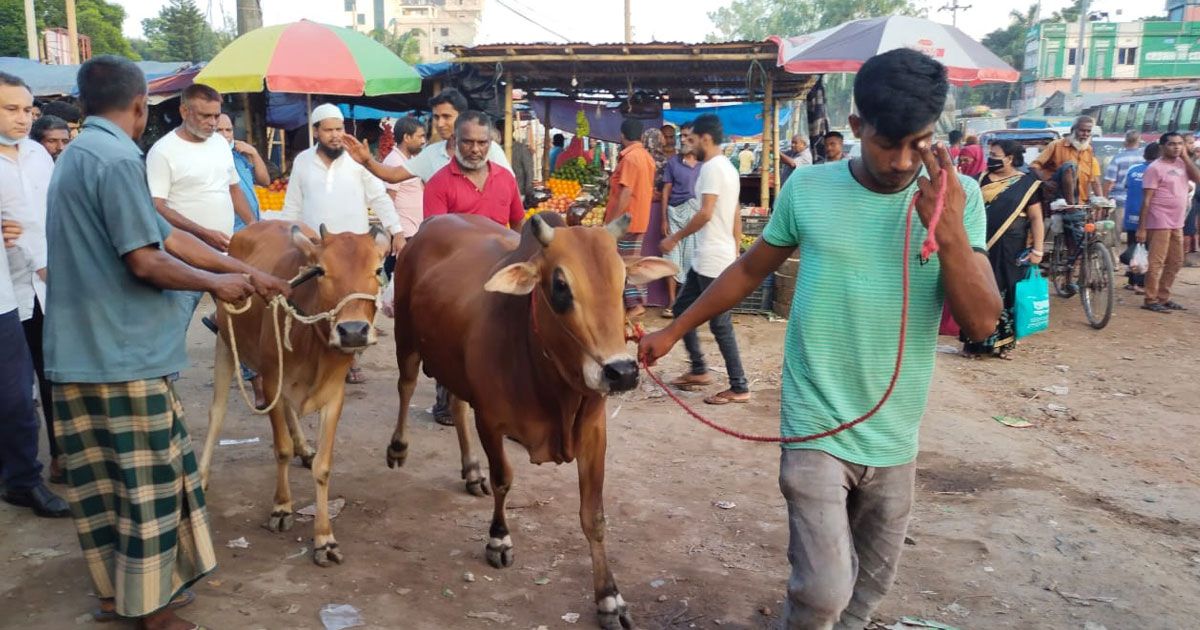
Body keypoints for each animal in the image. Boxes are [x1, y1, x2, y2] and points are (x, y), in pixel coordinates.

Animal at [195, 219, 384, 564]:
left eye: (378, 269)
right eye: (321, 270)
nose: (353, 332)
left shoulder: (334, 395)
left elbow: (323, 467)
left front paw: (324, 538)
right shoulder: (271, 381)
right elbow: (280, 448)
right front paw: (282, 507)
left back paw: (304, 448)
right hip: (226, 344)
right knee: (217, 412)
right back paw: (201, 476)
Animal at [388, 213, 681, 624]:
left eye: (624, 282)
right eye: (560, 286)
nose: (621, 372)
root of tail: (430, 225)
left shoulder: (594, 433)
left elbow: (594, 515)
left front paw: (609, 597)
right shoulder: (490, 421)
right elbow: (503, 481)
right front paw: (498, 540)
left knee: (457, 405)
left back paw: (471, 471)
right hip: (406, 339)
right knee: (406, 386)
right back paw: (398, 448)